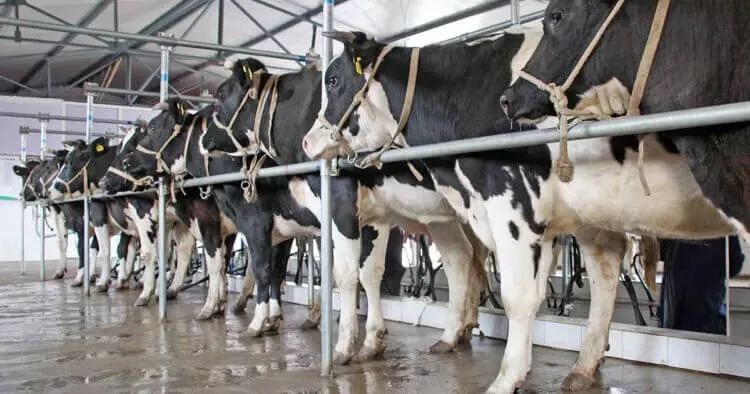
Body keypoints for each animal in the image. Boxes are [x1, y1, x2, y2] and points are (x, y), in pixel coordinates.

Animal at [13, 152, 99, 286]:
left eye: (24, 177)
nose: (21, 195)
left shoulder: (57, 209)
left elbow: (61, 241)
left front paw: (60, 271)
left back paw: (80, 277)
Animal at [201, 57, 494, 364]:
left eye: (221, 95)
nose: (203, 140)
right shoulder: (373, 215)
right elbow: (368, 273)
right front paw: (372, 341)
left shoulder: (317, 208)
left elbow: (335, 272)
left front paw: (341, 345)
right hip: (440, 215)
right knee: (459, 258)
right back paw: (451, 336)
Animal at [300, 29, 736, 392]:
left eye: (333, 80)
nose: (306, 141)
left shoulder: (511, 204)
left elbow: (518, 297)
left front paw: (507, 378)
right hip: (593, 209)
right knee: (605, 269)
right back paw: (584, 367)